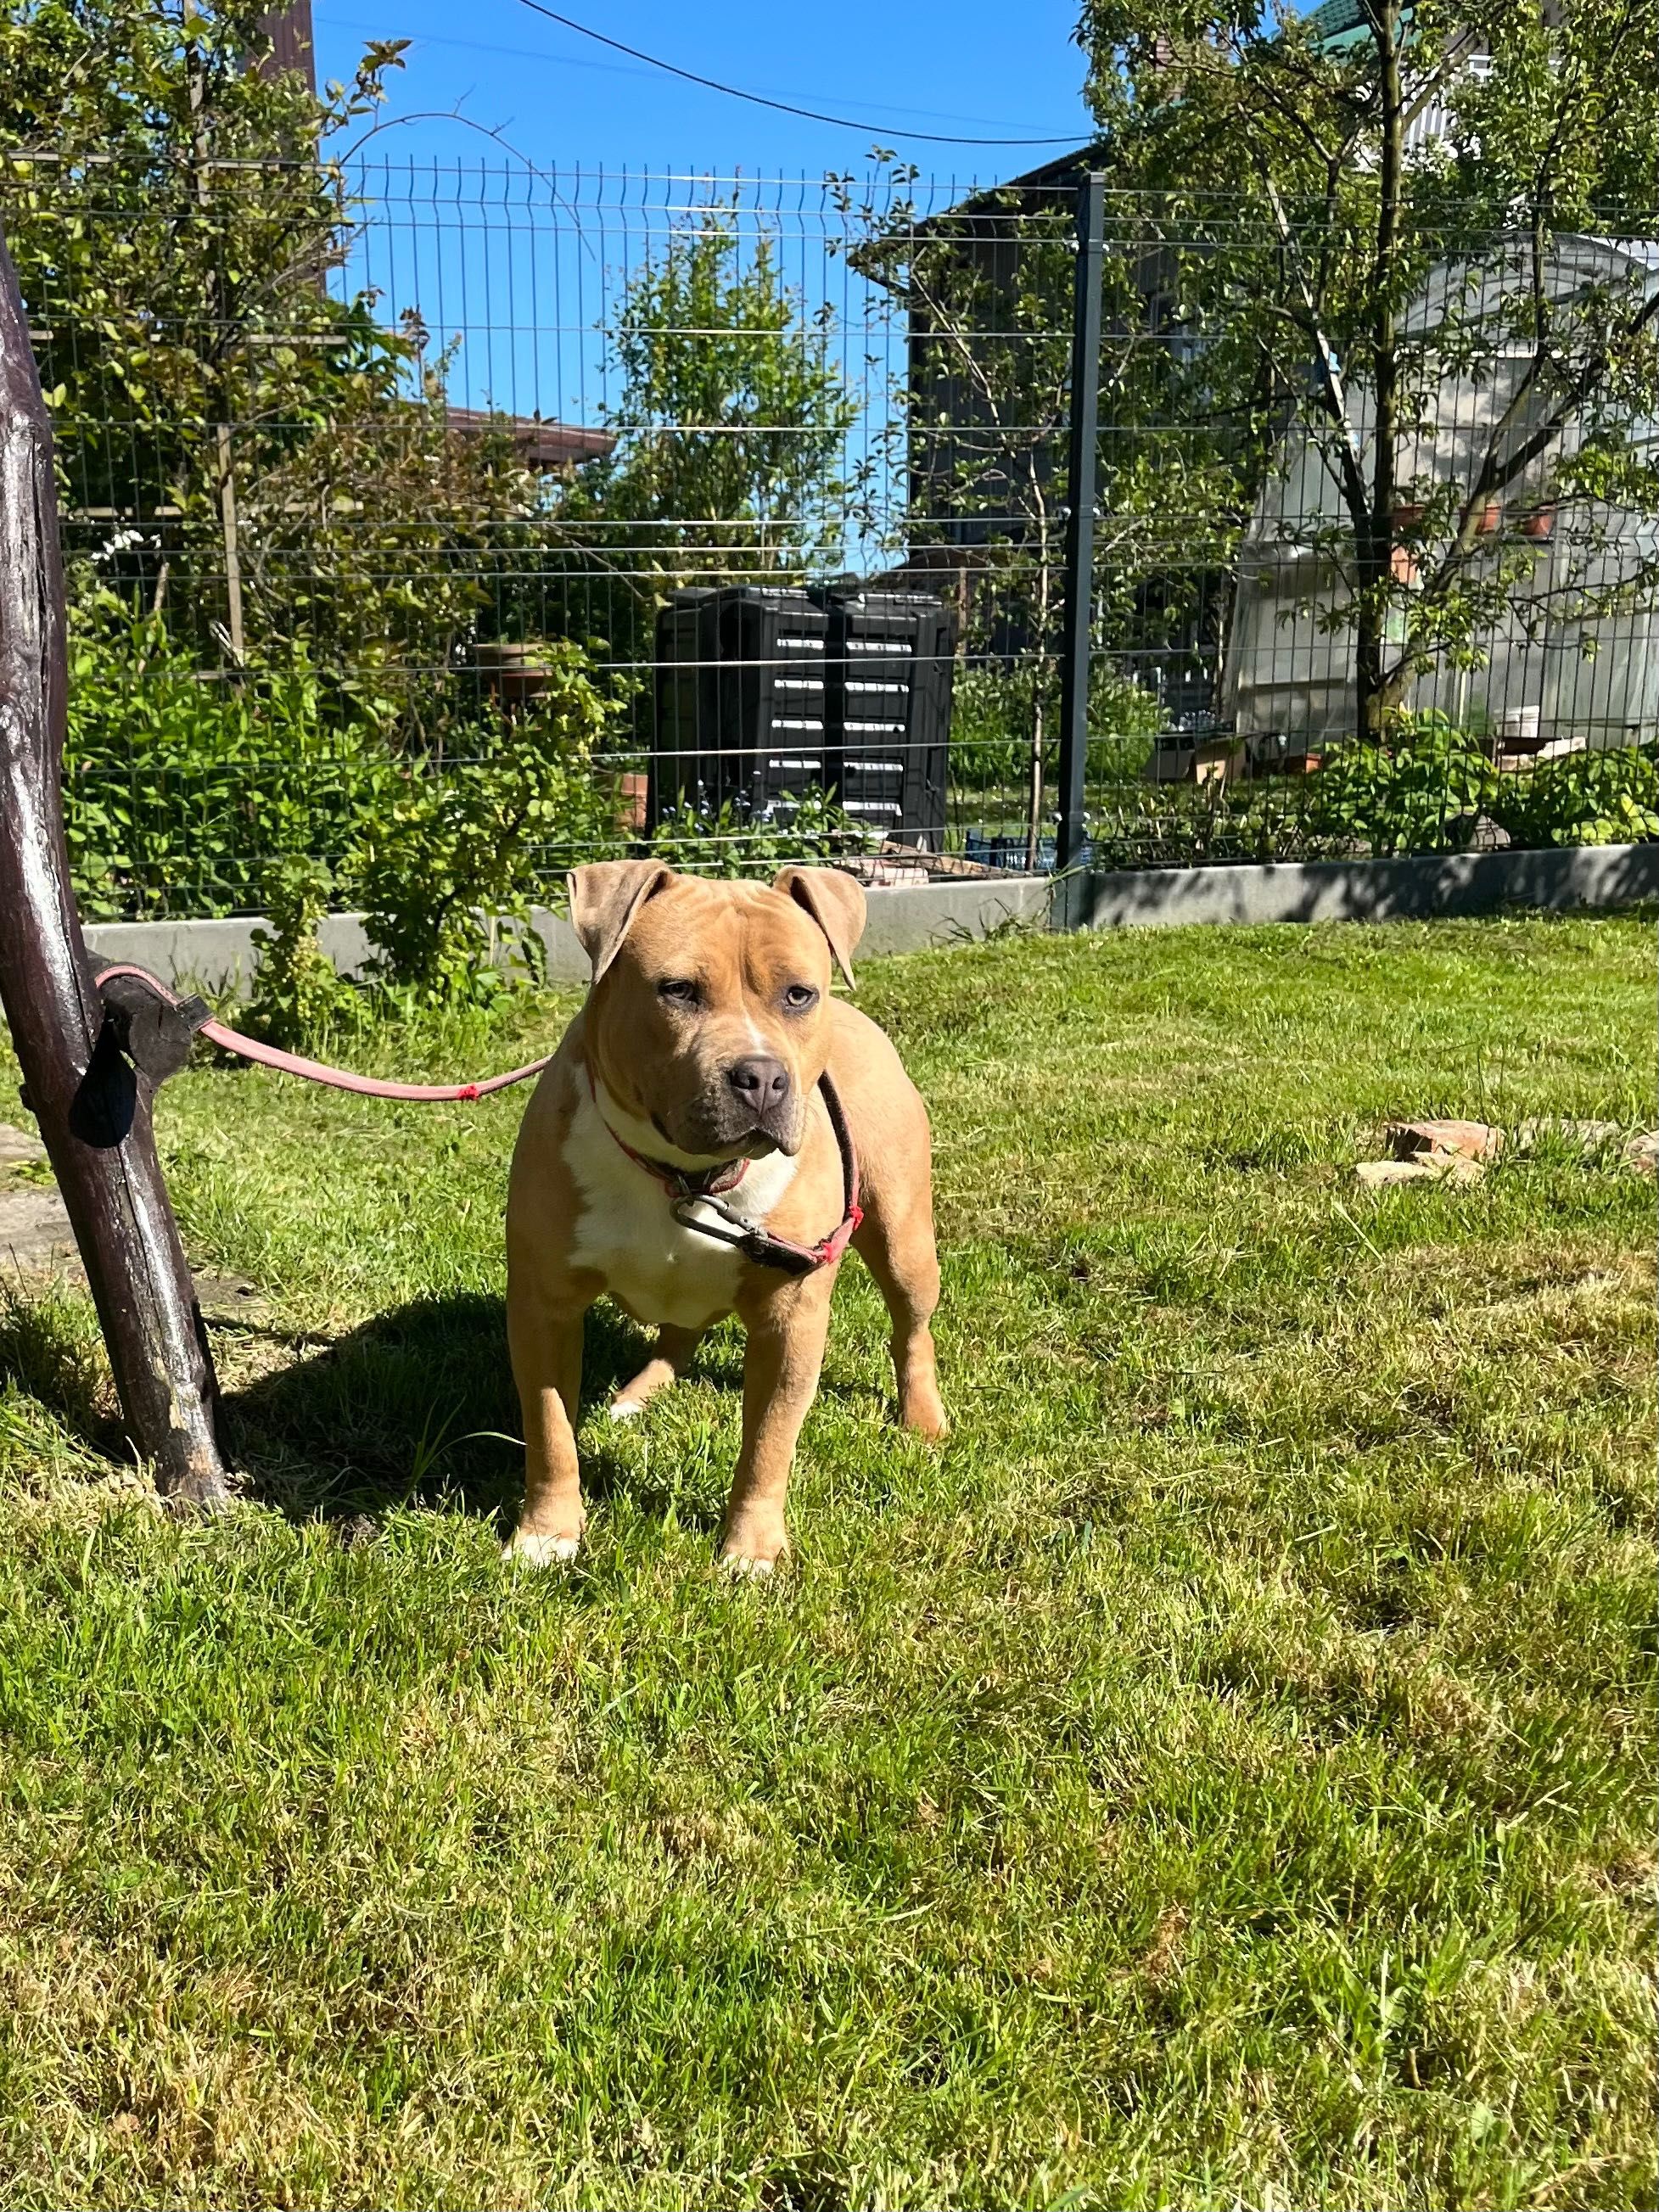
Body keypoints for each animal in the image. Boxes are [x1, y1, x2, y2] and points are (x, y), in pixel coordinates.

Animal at [506, 854, 946, 1565]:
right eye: (678, 990)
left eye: (798, 994)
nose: (761, 1076)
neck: (684, 1175)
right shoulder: (543, 1305)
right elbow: (549, 1430)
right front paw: (547, 1534)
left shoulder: (791, 1319)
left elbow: (769, 1441)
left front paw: (751, 1547)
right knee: (678, 1331)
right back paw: (638, 1395)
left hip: (903, 1239)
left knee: (911, 1329)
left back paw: (922, 1417)